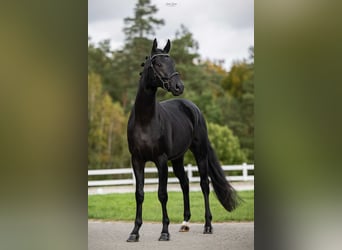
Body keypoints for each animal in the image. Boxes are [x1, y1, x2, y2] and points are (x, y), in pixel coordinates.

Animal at [125, 39, 238, 242]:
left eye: (173, 63)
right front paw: (134, 232)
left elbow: (162, 194)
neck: (145, 120)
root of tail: (192, 107)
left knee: (204, 185)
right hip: (178, 158)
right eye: (158, 63)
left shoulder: (161, 160)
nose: (179, 86)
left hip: (200, 153)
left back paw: (207, 225)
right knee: (185, 183)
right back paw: (185, 223)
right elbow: (139, 194)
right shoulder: (137, 160)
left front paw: (164, 232)